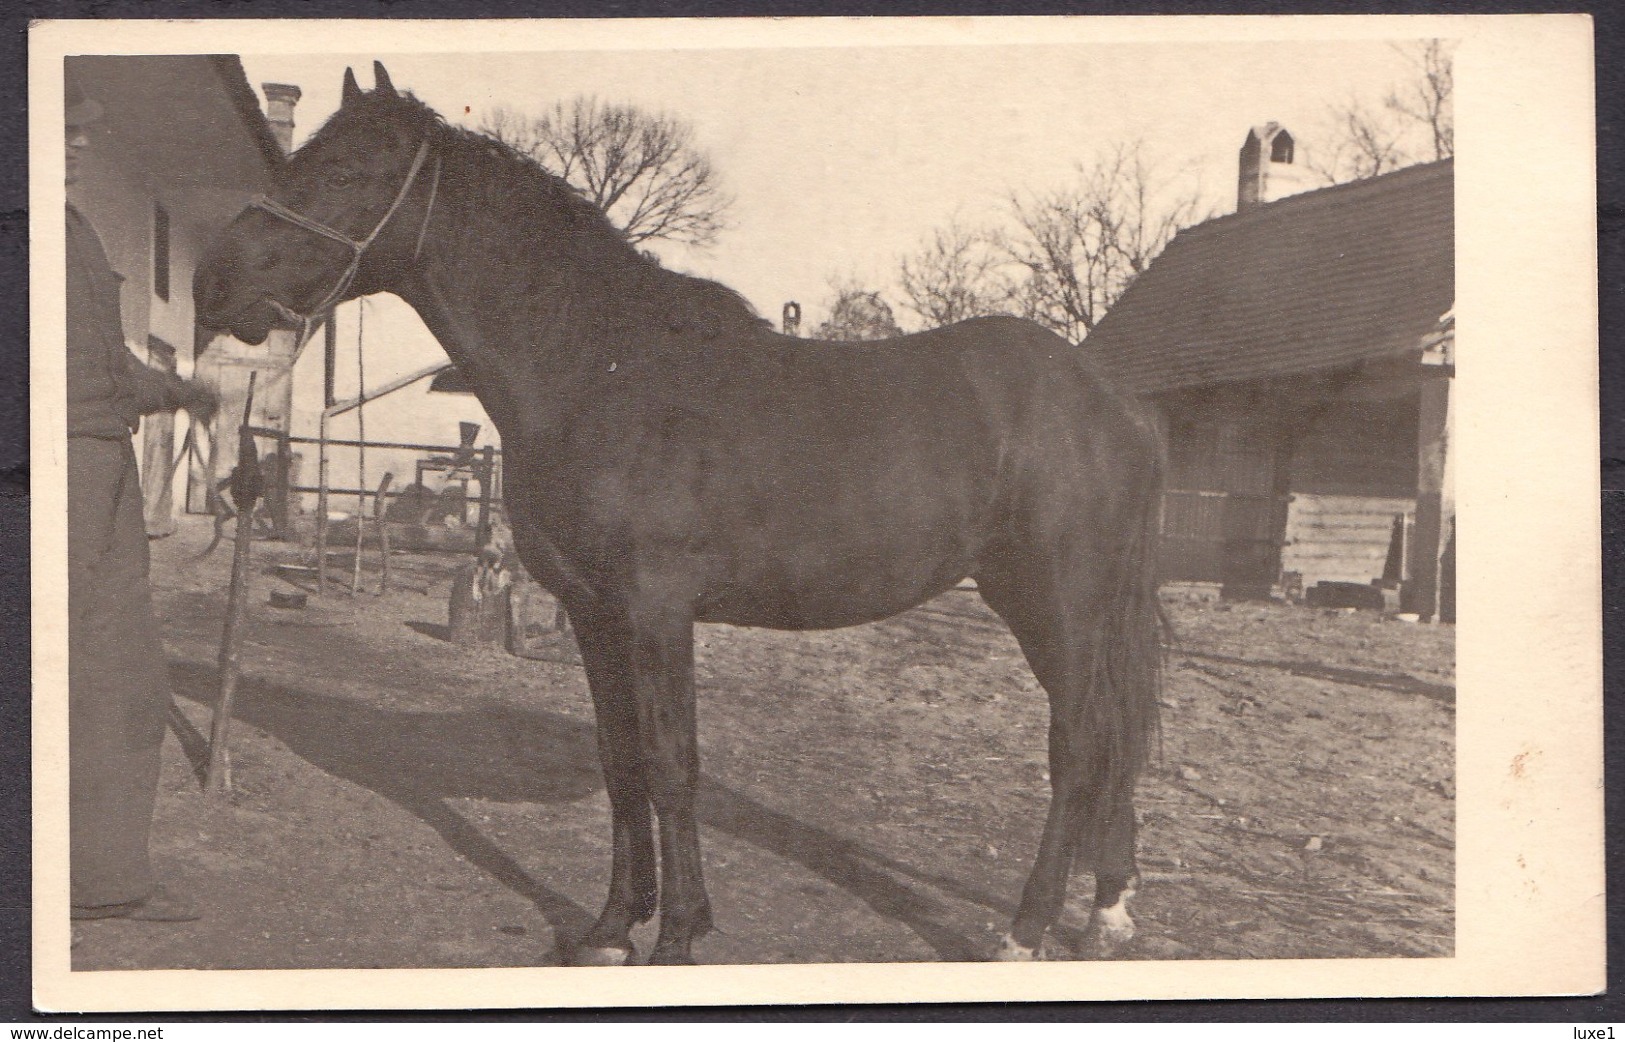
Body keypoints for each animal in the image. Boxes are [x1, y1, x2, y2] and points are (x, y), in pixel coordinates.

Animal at [196, 60, 1170, 962]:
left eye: (346, 171)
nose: (212, 282)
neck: (601, 369)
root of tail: (1114, 400)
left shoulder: (657, 610)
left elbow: (671, 766)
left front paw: (677, 936)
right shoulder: (593, 613)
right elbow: (620, 763)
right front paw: (611, 926)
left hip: (1059, 601)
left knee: (1080, 744)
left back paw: (1025, 930)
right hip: (1042, 604)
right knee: (1105, 739)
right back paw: (1106, 911)